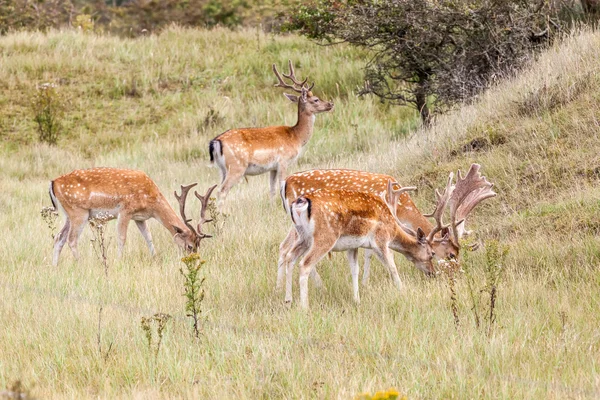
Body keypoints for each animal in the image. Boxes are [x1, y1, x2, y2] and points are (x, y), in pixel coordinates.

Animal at [49, 167, 217, 268]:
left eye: (198, 245)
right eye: (190, 246)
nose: (193, 261)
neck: (151, 201)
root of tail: (53, 183)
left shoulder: (139, 217)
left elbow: (148, 237)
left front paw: (155, 259)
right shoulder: (125, 210)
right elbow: (122, 237)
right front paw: (119, 261)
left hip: (68, 215)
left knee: (59, 237)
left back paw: (54, 267)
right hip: (79, 212)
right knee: (71, 239)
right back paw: (81, 263)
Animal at [209, 61, 332, 209]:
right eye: (316, 99)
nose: (330, 104)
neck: (296, 137)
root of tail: (216, 141)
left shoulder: (272, 168)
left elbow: (272, 189)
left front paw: (272, 207)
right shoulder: (283, 161)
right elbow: (282, 186)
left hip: (221, 168)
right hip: (236, 166)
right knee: (222, 191)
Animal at [278, 163, 496, 290]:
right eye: (450, 254)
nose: (458, 275)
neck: (402, 207)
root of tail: (285, 183)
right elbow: (373, 253)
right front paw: (366, 283)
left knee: (284, 248)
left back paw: (280, 290)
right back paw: (319, 287)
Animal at [278, 182, 434, 310]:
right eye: (432, 253)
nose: (433, 273)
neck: (393, 229)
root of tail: (300, 203)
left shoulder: (352, 246)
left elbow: (355, 270)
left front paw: (357, 300)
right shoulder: (380, 240)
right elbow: (392, 267)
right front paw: (402, 291)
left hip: (302, 237)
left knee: (290, 256)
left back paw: (288, 300)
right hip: (325, 237)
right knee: (305, 264)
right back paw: (305, 307)